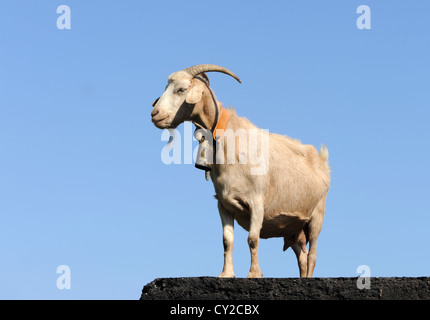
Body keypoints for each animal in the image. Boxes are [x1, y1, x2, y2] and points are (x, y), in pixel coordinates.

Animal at [150, 65, 330, 278]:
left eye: (181, 90)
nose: (155, 114)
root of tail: (322, 160)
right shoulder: (224, 204)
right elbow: (227, 241)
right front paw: (226, 274)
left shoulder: (257, 202)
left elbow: (253, 239)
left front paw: (254, 274)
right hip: (293, 228)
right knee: (302, 256)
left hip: (317, 215)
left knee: (313, 255)